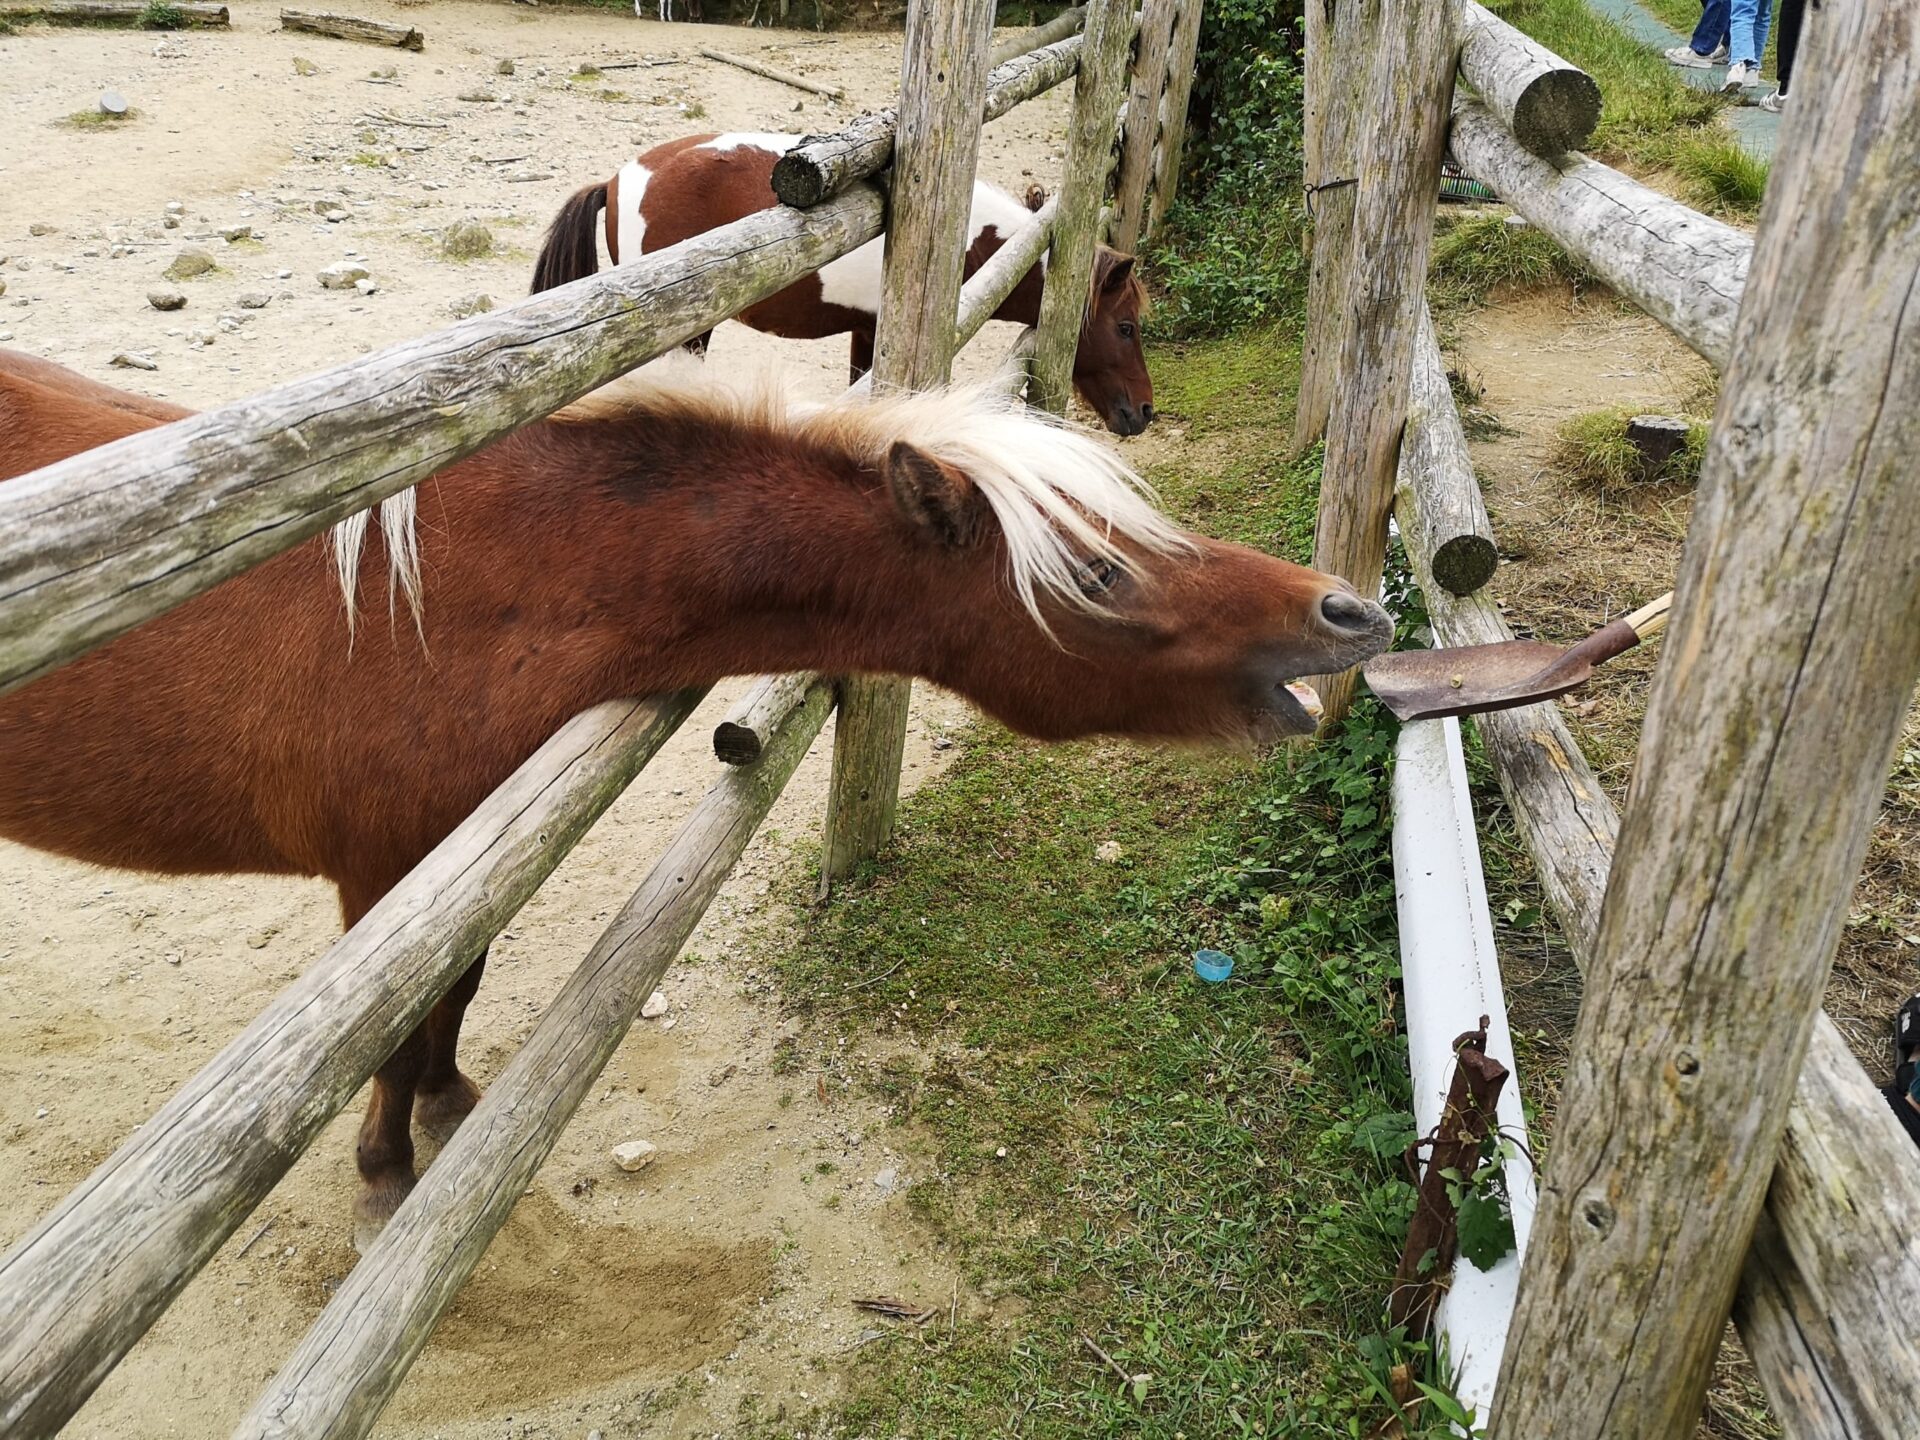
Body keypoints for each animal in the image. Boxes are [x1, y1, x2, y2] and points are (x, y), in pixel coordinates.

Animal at [0, 353, 1390, 1251]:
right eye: (1099, 575)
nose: (1349, 610)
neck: (453, 599)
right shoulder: (384, 885)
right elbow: (390, 1039)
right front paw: (388, 1173)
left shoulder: (461, 872)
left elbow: (458, 994)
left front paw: (451, 1105)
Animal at [529, 136, 1152, 439]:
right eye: (1125, 327)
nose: (1144, 412)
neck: (970, 236)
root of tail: (616, 181)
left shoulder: (865, 332)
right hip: (686, 337)